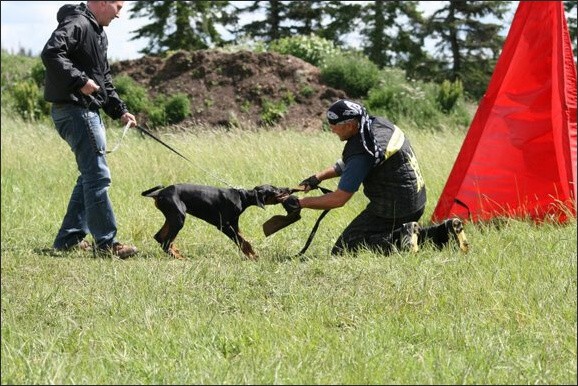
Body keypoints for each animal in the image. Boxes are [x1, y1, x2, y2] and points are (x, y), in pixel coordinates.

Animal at [140, 184, 288, 260]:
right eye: (276, 190)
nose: (288, 188)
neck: (242, 197)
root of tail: (159, 193)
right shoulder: (224, 226)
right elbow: (240, 241)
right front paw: (252, 257)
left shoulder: (234, 224)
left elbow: (244, 241)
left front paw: (253, 254)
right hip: (178, 218)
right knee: (165, 242)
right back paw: (180, 257)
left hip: (173, 217)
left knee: (159, 237)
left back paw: (176, 252)